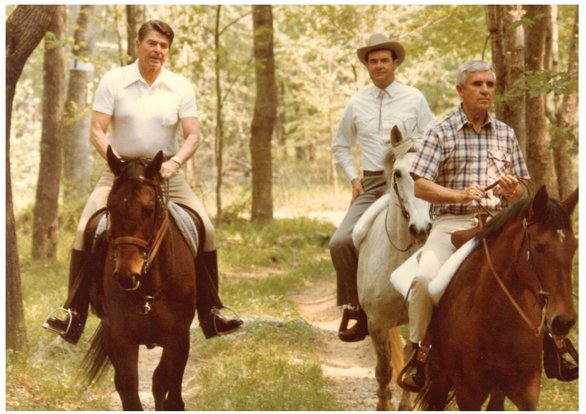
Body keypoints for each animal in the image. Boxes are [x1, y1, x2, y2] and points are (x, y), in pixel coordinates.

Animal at [81, 146, 197, 410]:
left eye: (148, 209)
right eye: (111, 208)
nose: (126, 274)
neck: (150, 287)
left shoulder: (179, 337)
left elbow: (167, 388)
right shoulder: (122, 338)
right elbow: (130, 391)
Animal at [418, 186, 576, 410]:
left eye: (574, 246)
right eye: (539, 247)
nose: (564, 321)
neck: (496, 321)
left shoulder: (527, 391)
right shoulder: (468, 394)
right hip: (440, 376)